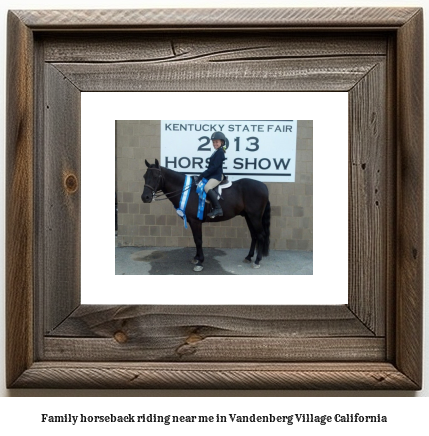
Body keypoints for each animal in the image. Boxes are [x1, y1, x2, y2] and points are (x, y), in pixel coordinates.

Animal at [140, 158, 270, 270]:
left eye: (156, 176)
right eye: (145, 176)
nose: (145, 197)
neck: (186, 190)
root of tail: (264, 186)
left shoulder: (195, 221)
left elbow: (198, 240)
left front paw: (200, 262)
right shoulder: (192, 222)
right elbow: (195, 239)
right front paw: (196, 258)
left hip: (255, 217)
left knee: (261, 235)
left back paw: (257, 261)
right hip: (248, 216)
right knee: (254, 235)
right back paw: (248, 257)